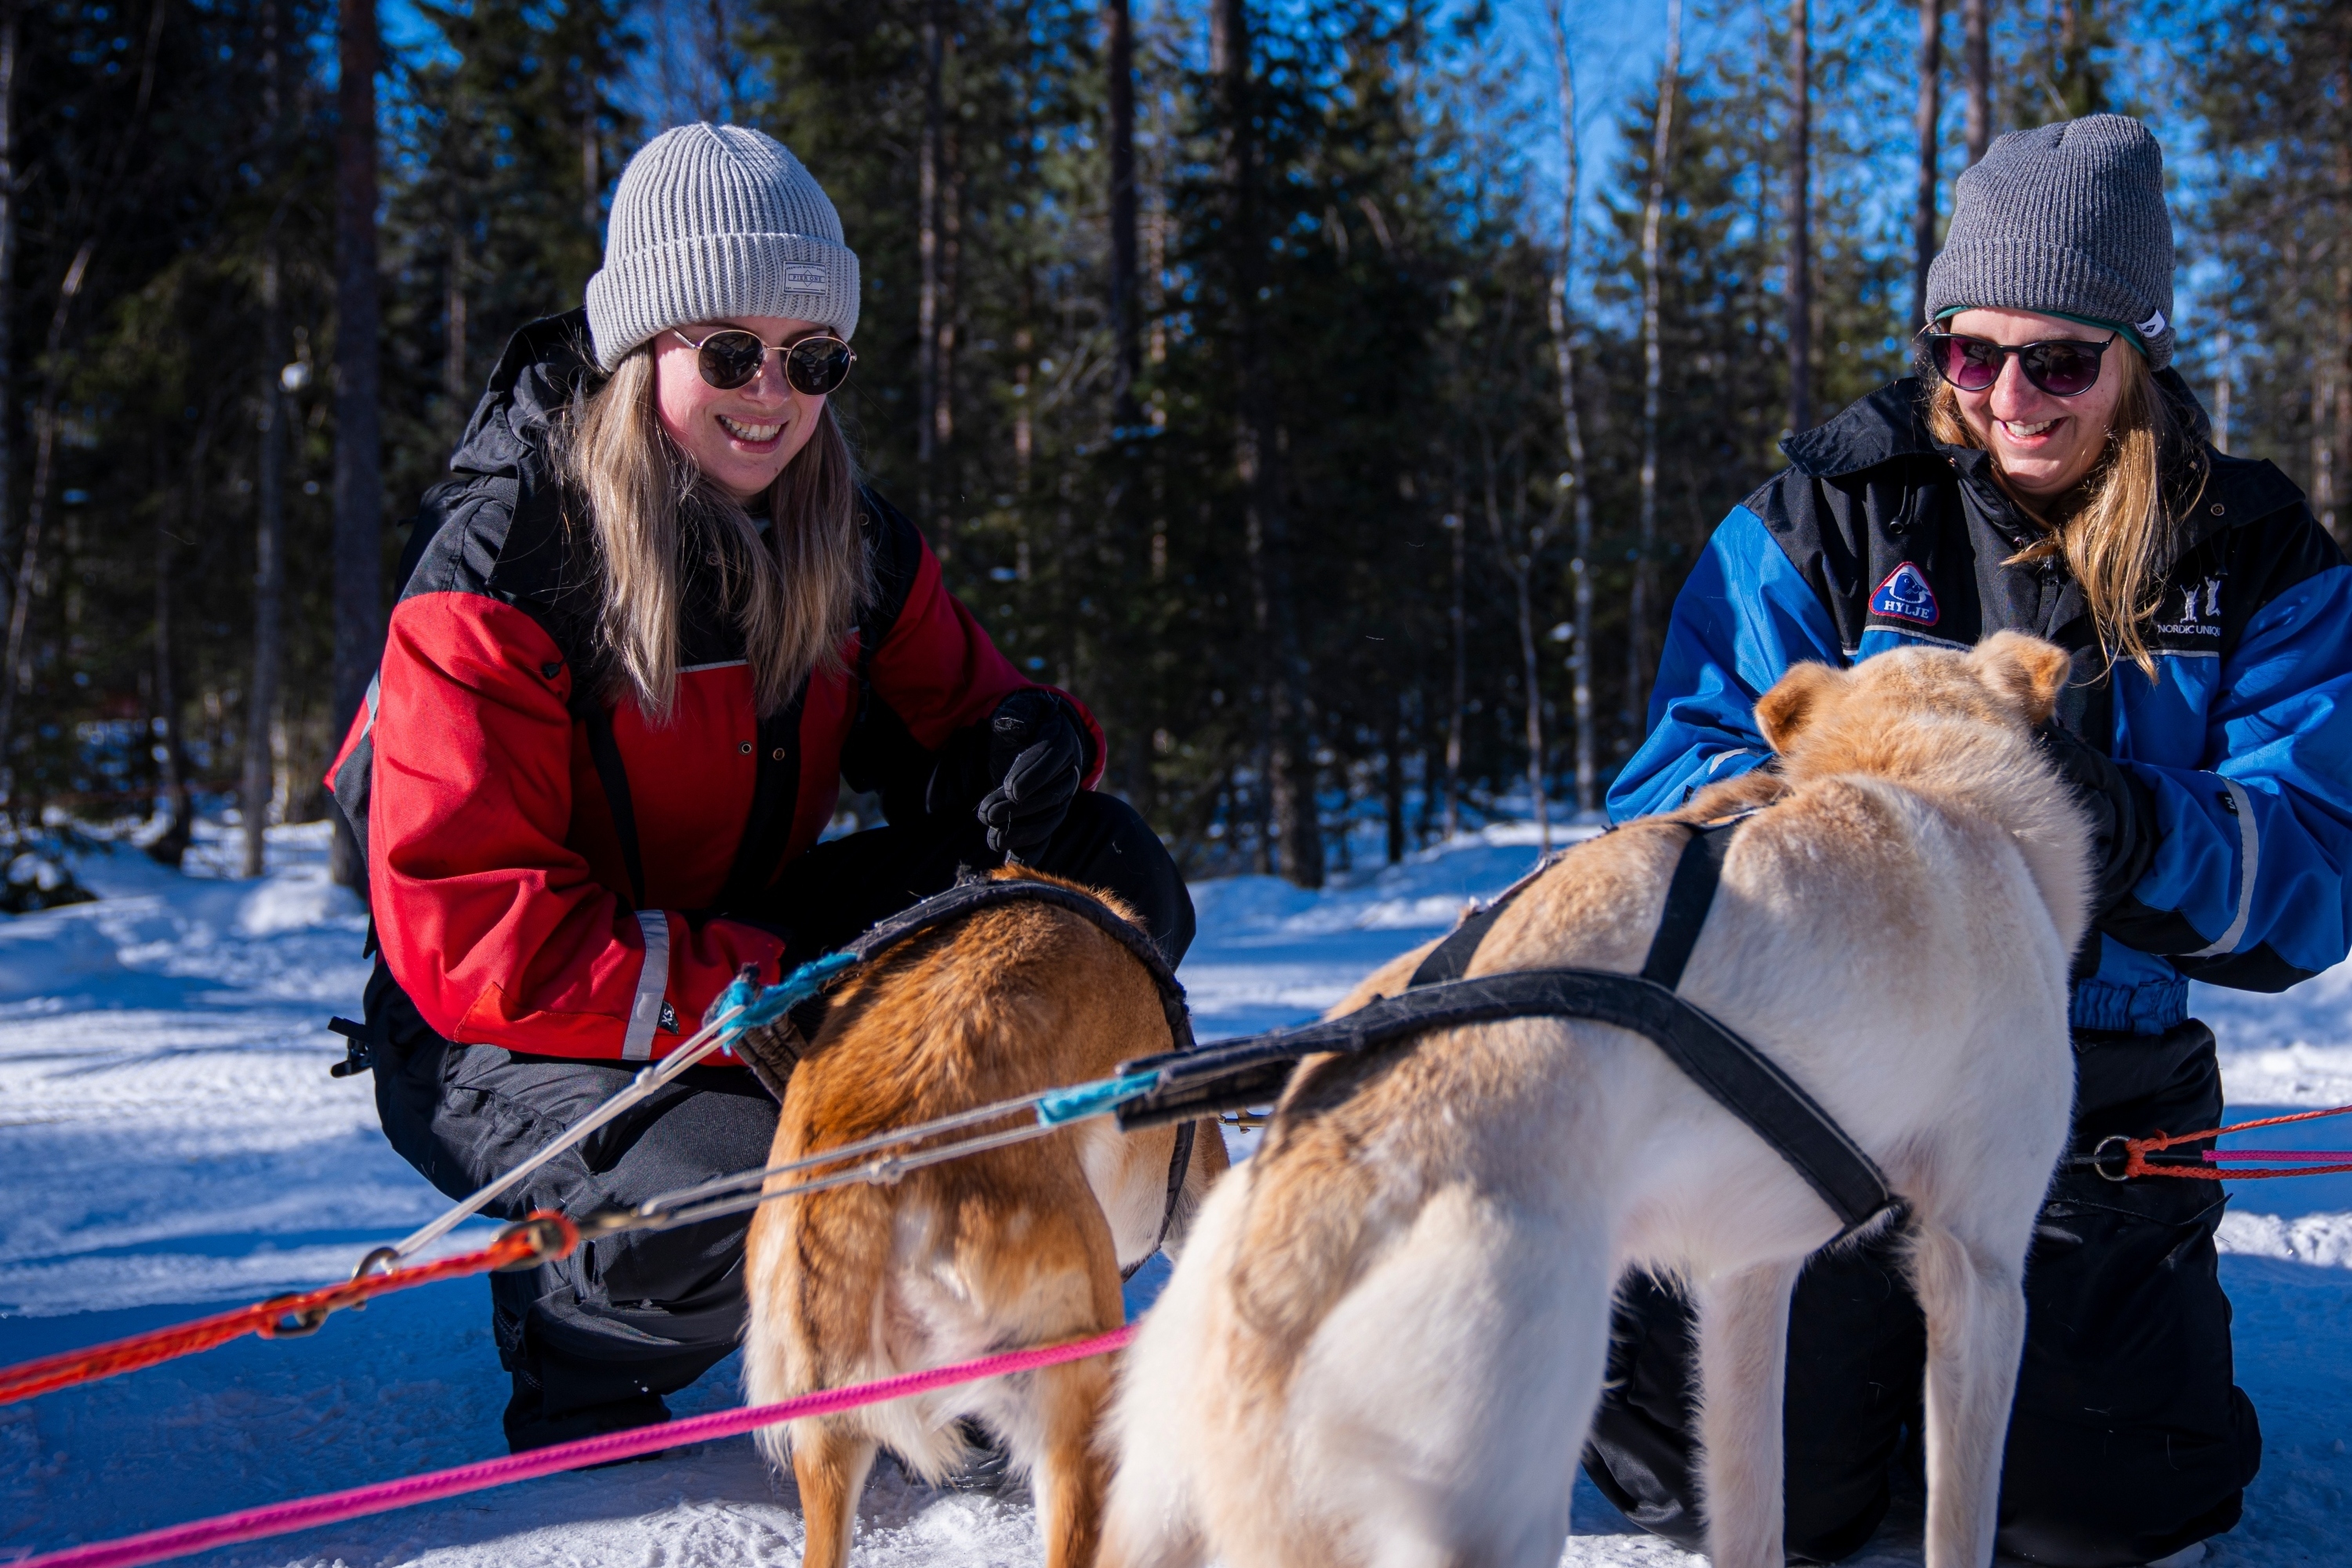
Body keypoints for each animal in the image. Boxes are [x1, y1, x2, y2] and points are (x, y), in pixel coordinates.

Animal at [1101, 634, 2098, 1568]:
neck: (1919, 766)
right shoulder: (1979, 1262)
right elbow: (1960, 1519)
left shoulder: (1748, 1278)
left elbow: (1753, 1507)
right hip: (1502, 1488)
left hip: (1160, 1502)